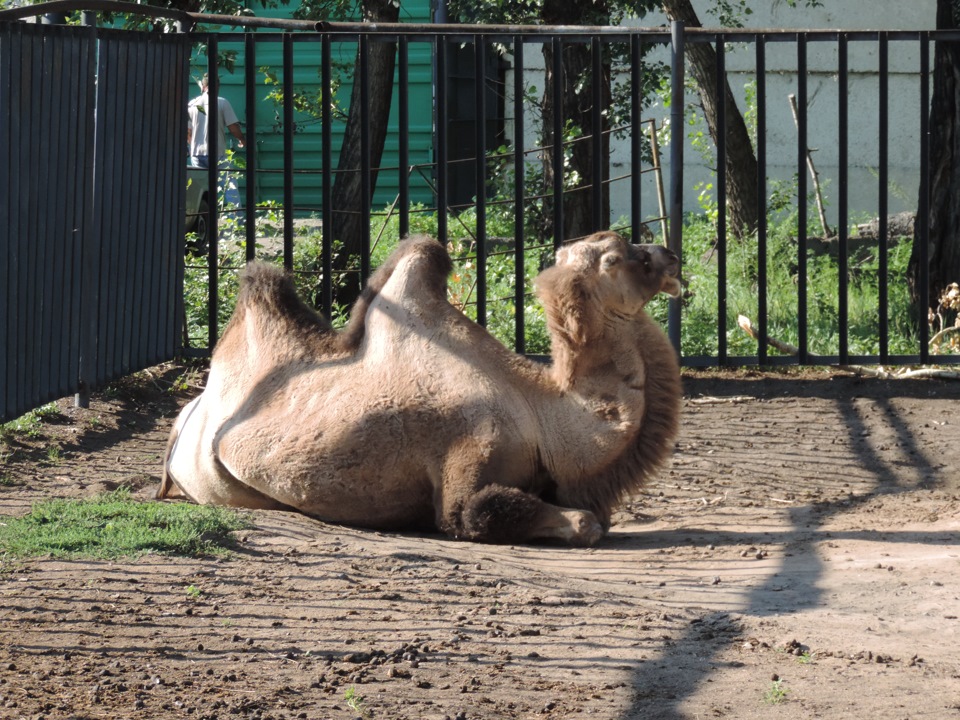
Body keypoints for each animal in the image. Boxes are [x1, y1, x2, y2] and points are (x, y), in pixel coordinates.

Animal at [158, 232, 684, 544]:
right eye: (616, 258)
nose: (670, 253)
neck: (542, 413)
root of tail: (187, 415)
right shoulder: (469, 447)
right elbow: (473, 513)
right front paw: (581, 523)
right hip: (213, 482)